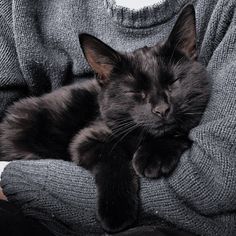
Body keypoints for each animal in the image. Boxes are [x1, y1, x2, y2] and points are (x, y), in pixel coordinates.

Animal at [0, 4, 210, 233]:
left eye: (173, 82)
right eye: (135, 91)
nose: (162, 109)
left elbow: (183, 130)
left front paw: (155, 154)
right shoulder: (88, 137)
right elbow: (113, 159)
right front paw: (117, 211)